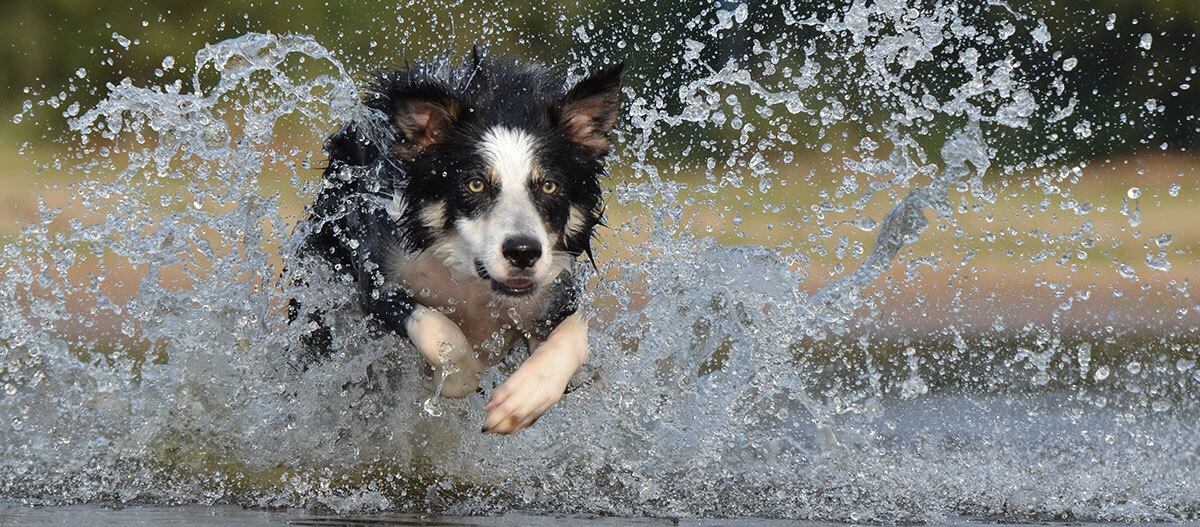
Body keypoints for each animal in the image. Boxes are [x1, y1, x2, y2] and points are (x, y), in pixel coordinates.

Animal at [289, 51, 624, 434]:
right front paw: (456, 375)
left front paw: (523, 399)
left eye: (549, 186)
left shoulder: (553, 292)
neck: (471, 280)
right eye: (475, 184)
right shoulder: (377, 277)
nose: (523, 252)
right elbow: (438, 330)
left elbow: (574, 336)